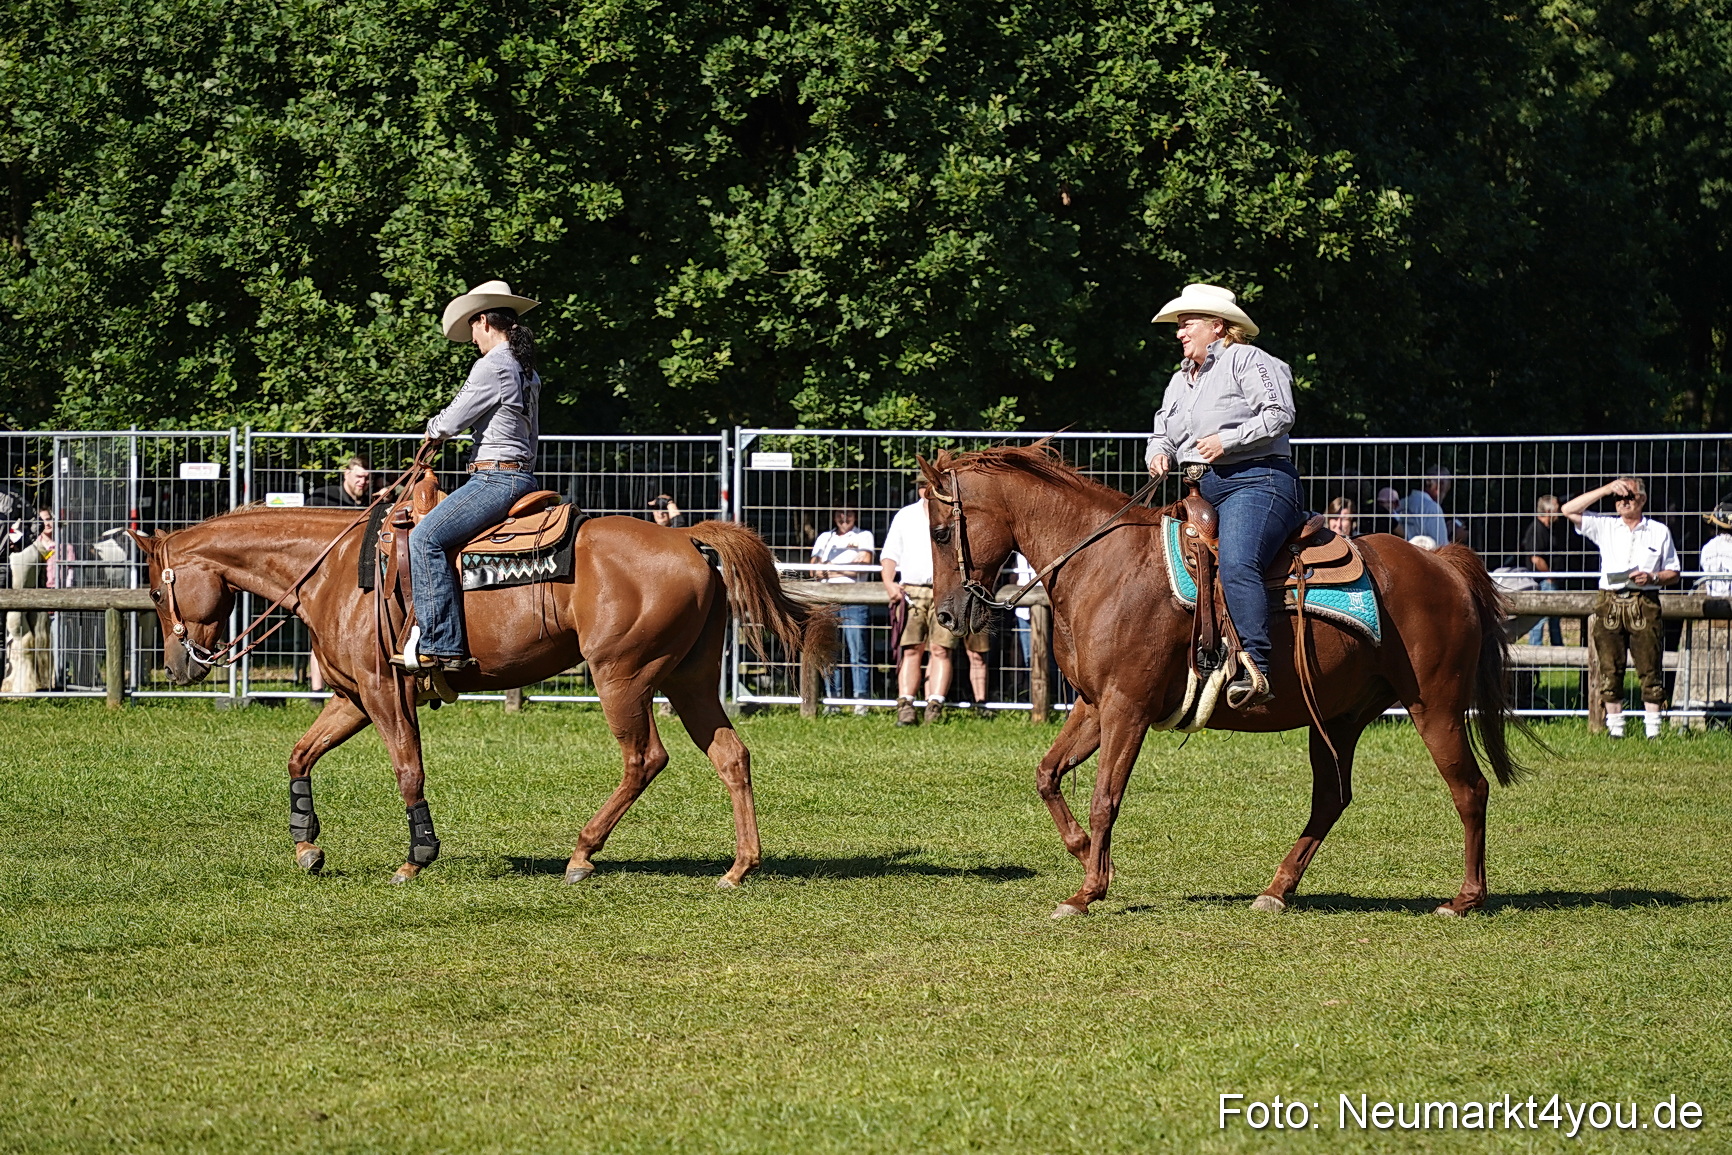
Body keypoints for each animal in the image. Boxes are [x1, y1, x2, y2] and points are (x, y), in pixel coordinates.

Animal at [129, 507, 833, 885]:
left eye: (158, 590)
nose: (177, 667)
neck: (335, 573)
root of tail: (688, 538)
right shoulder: (352, 697)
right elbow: (301, 755)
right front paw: (307, 846)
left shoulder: (384, 693)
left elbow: (408, 769)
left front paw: (417, 858)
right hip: (688, 678)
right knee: (731, 756)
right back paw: (739, 867)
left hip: (623, 675)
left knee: (645, 759)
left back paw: (583, 854)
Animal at [920, 443, 1533, 919]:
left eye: (942, 531)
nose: (947, 615)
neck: (1106, 565)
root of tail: (1443, 565)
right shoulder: (1094, 705)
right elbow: (1047, 775)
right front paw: (1084, 853)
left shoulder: (1127, 707)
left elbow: (1104, 797)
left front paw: (1087, 891)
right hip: (1339, 718)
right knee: (1331, 799)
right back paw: (1276, 891)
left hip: (1436, 707)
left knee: (1469, 789)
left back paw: (1464, 898)